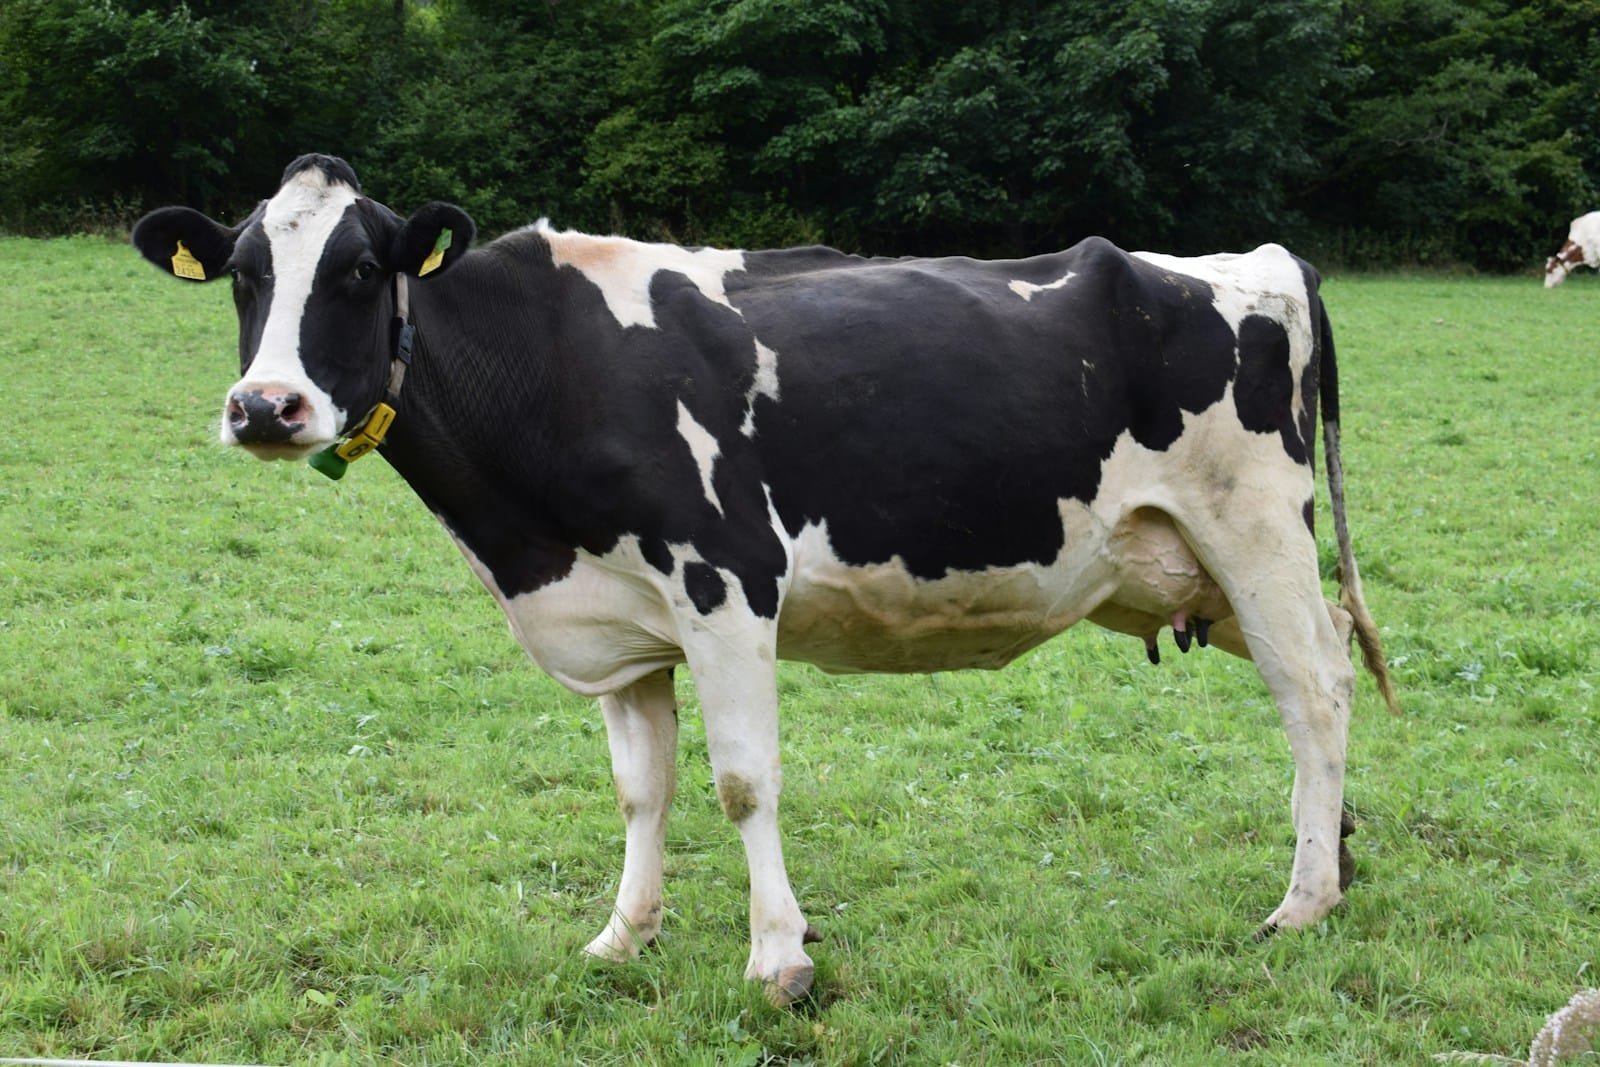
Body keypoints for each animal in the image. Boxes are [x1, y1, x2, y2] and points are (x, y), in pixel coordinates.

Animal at [133, 154, 1398, 1007]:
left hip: (1254, 530)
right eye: (242, 275)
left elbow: (742, 781)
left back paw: (1300, 900)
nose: (265, 407)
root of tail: (1259, 260)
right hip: (1192, 568)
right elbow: (641, 790)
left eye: (357, 269)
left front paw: (778, 957)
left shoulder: (725, 583)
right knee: (1327, 667)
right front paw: (623, 934)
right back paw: (1334, 856)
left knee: (1313, 687)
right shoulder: (621, 625)